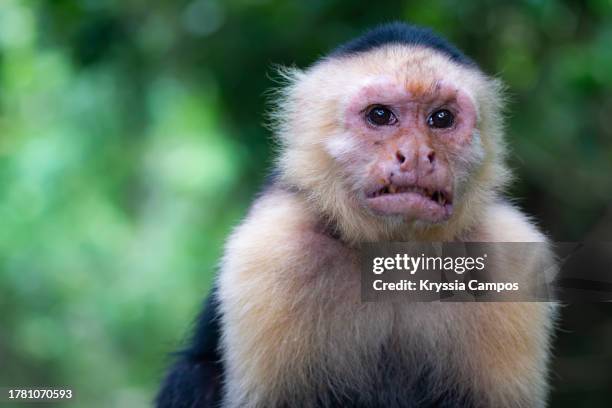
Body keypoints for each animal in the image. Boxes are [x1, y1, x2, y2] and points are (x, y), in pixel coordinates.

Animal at [155, 23, 556, 408]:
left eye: (441, 118)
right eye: (380, 115)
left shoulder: (509, 254)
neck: (394, 253)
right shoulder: (273, 250)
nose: (416, 154)